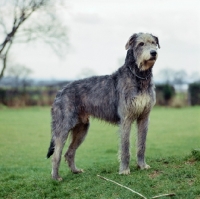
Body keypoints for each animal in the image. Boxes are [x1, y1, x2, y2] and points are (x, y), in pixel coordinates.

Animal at [46, 32, 159, 180]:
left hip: (82, 128)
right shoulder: (126, 119)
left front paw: (142, 165)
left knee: (69, 152)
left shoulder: (144, 118)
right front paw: (124, 170)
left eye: (153, 43)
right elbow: (125, 147)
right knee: (56, 153)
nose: (153, 53)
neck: (139, 77)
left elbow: (142, 144)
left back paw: (75, 170)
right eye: (141, 44)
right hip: (63, 126)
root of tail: (59, 92)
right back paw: (55, 177)